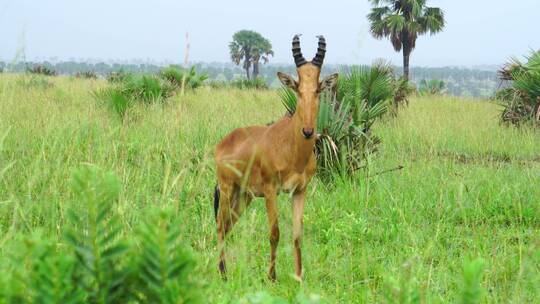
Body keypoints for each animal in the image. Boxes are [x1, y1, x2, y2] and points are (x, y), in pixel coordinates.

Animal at [214, 35, 338, 280]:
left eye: (318, 89)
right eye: (297, 89)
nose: (308, 131)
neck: (291, 146)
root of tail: (225, 141)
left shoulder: (299, 191)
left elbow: (297, 234)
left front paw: (299, 277)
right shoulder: (271, 190)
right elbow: (274, 232)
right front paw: (271, 277)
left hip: (244, 195)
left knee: (229, 225)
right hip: (227, 188)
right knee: (221, 226)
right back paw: (222, 273)